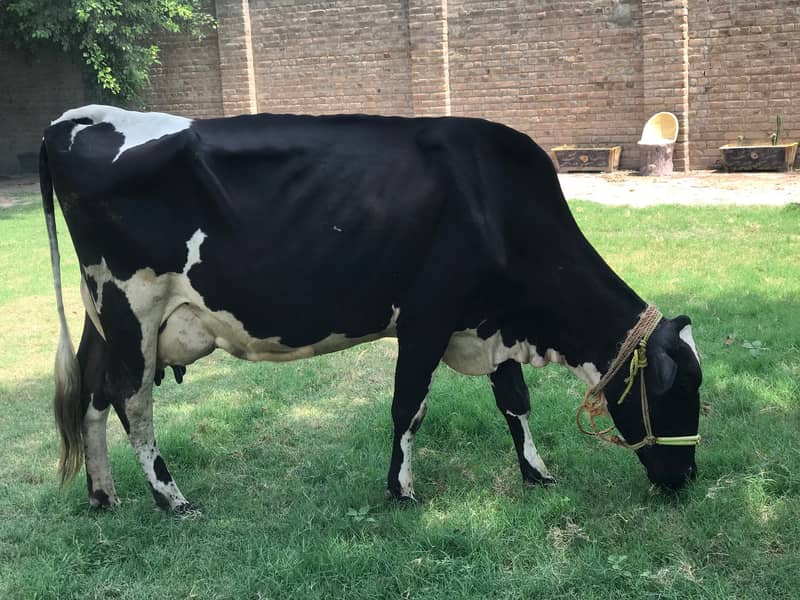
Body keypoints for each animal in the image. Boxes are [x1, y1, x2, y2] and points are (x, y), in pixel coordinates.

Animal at [40, 104, 700, 510]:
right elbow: (409, 407)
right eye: (678, 391)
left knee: (94, 394)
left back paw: (103, 495)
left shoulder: (487, 321)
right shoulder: (427, 318)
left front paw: (536, 472)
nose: (687, 478)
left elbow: (514, 402)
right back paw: (170, 498)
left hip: (105, 314)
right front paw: (400, 490)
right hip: (133, 306)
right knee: (132, 400)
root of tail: (85, 116)